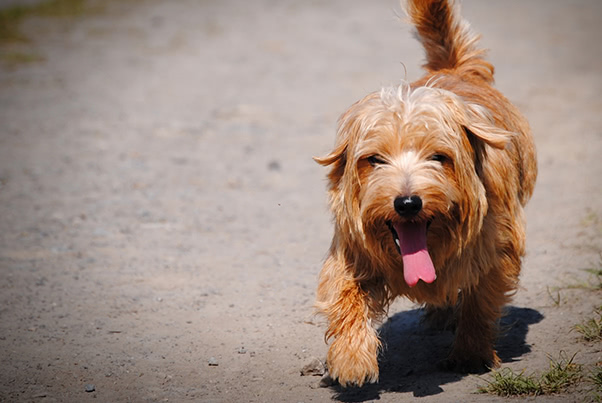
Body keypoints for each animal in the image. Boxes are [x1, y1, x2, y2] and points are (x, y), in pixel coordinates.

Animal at [314, 0, 536, 388]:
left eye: (438, 157)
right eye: (374, 159)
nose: (407, 203)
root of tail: (454, 69)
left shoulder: (498, 251)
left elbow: (480, 300)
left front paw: (471, 352)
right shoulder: (353, 253)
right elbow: (345, 296)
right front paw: (351, 358)